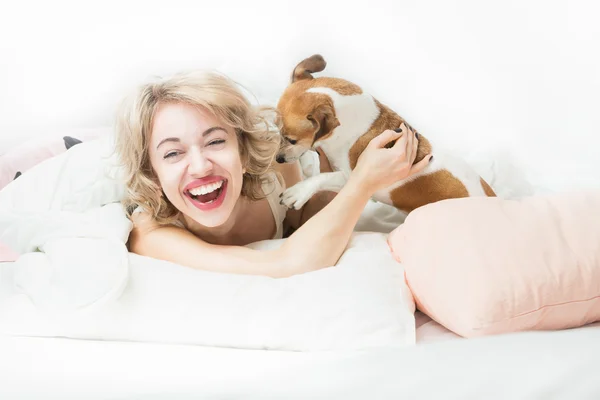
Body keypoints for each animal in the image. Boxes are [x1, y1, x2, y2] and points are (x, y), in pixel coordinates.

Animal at [276, 54, 496, 217]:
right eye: (277, 131)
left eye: (292, 139)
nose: (278, 159)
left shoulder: (355, 179)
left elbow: (323, 176)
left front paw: (298, 192)